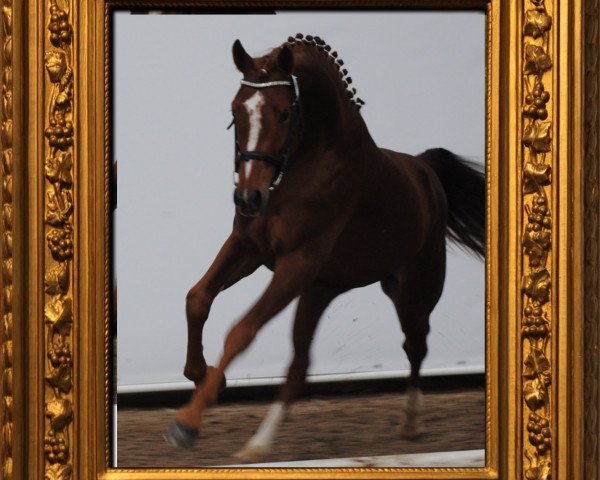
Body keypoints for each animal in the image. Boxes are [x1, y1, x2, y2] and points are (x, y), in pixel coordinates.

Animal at [164, 34, 482, 462]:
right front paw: (202, 376)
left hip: (413, 291)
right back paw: (258, 444)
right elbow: (197, 298)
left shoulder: (295, 263)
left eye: (284, 113)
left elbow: (242, 331)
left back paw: (412, 422)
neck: (303, 167)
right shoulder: (248, 247)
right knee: (301, 365)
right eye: (235, 110)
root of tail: (426, 171)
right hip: (321, 290)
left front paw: (186, 424)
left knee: (415, 344)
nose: (248, 198)